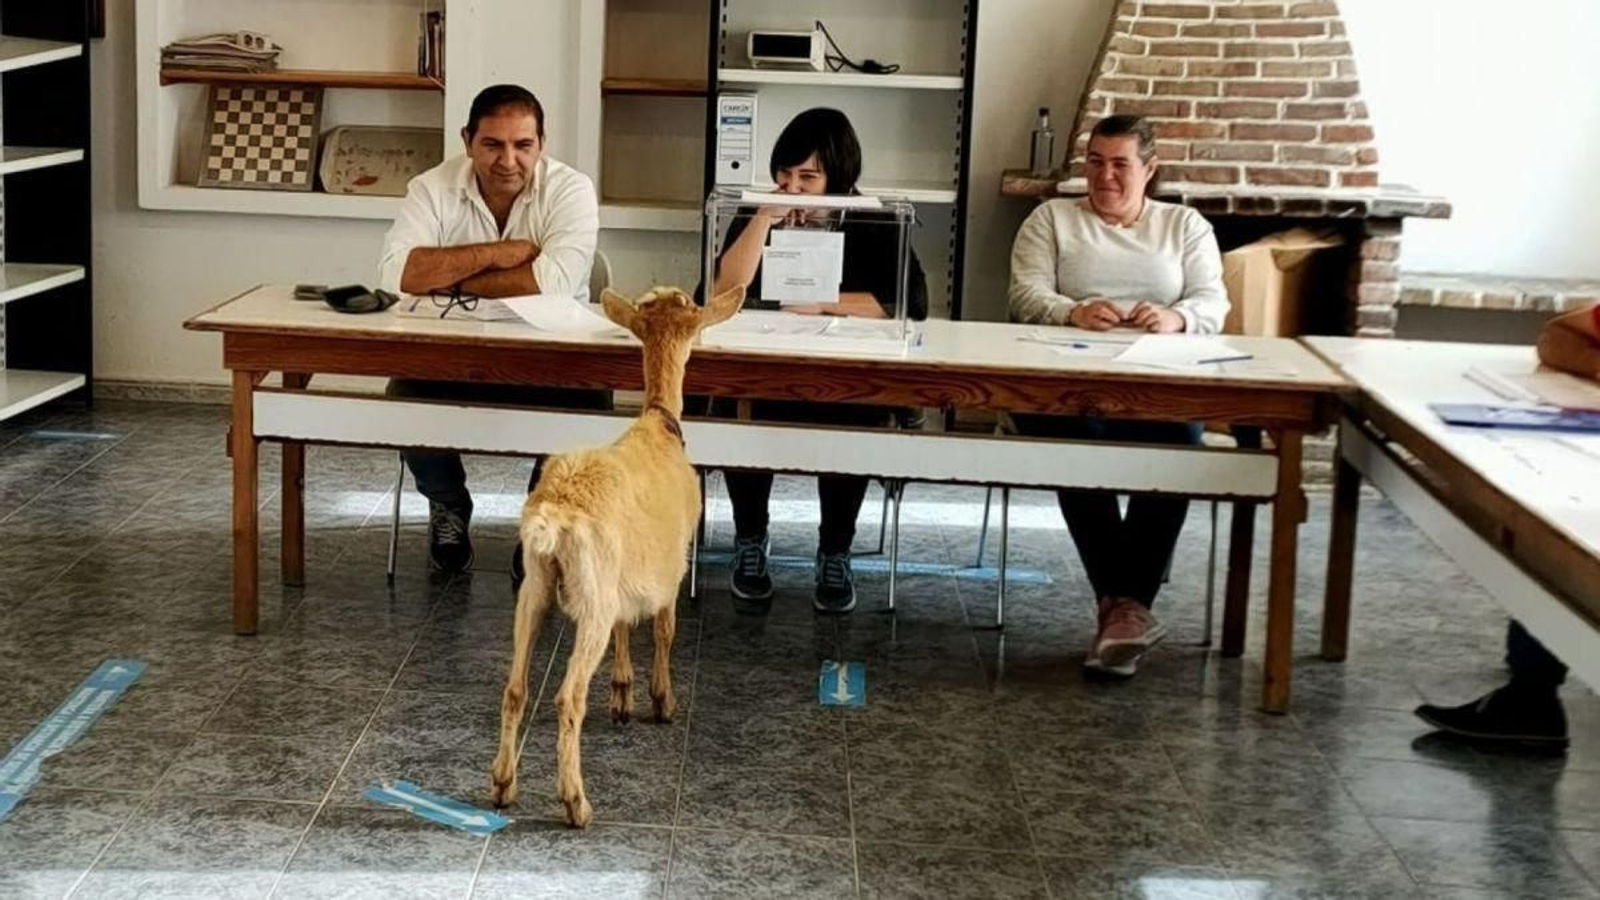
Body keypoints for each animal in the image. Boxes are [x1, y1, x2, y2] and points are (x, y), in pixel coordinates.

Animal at [489, 284, 743, 828]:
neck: (659, 424)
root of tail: (554, 516)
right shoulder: (672, 568)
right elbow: (665, 630)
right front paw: (661, 700)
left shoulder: (627, 576)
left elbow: (630, 626)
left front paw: (623, 693)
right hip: (591, 603)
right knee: (567, 697)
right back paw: (575, 801)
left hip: (535, 590)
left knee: (516, 688)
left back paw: (501, 786)